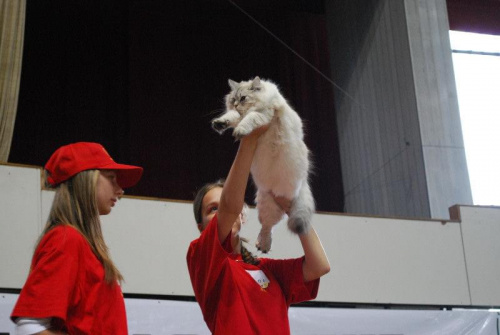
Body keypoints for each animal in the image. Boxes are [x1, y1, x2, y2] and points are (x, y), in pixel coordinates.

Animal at [212, 77, 314, 255]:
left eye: (243, 98)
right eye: (233, 100)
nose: (236, 104)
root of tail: (303, 182)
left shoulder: (262, 114)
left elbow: (249, 119)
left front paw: (240, 131)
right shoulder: (238, 114)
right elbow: (231, 116)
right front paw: (220, 123)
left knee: (269, 226)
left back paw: (263, 245)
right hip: (266, 203)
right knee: (267, 226)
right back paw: (263, 245)